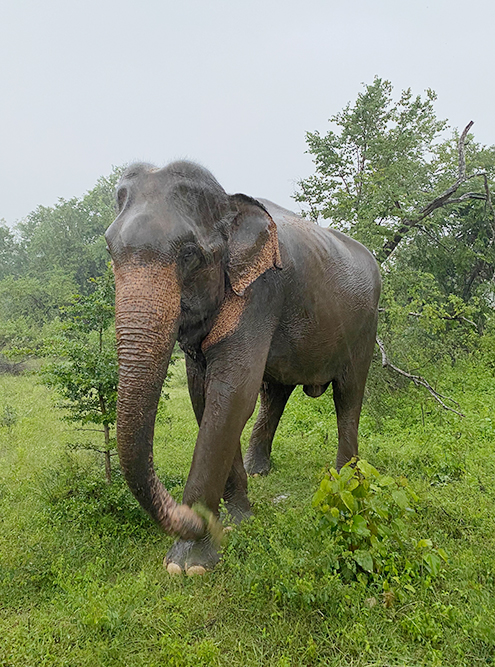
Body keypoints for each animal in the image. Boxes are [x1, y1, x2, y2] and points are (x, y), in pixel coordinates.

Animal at [104, 160, 382, 576]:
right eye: (109, 249)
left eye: (189, 254)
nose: (195, 517)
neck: (229, 203)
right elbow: (205, 398)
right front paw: (239, 520)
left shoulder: (261, 292)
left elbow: (232, 394)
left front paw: (189, 564)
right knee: (275, 394)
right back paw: (258, 470)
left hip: (365, 326)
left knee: (348, 396)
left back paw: (346, 477)